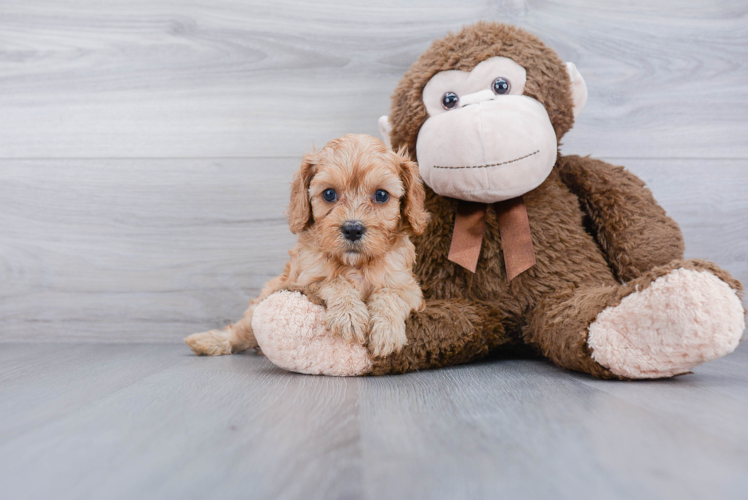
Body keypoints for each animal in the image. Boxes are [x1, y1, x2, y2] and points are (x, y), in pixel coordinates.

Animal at [186, 134, 430, 360]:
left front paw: (385, 331)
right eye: (329, 194)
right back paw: (209, 341)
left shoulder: (408, 287)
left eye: (381, 195)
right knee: (240, 330)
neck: (354, 264)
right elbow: (334, 282)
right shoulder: (303, 282)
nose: (352, 229)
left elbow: (389, 295)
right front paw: (349, 316)